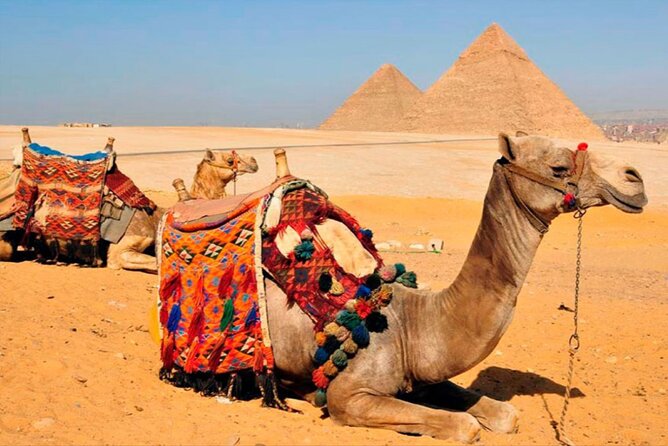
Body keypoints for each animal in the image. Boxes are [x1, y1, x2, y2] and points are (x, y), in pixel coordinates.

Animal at [255, 133, 647, 442]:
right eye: (559, 167)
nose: (634, 178)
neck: (412, 323)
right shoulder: (349, 396)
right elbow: (466, 426)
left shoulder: (425, 375)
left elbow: (506, 415)